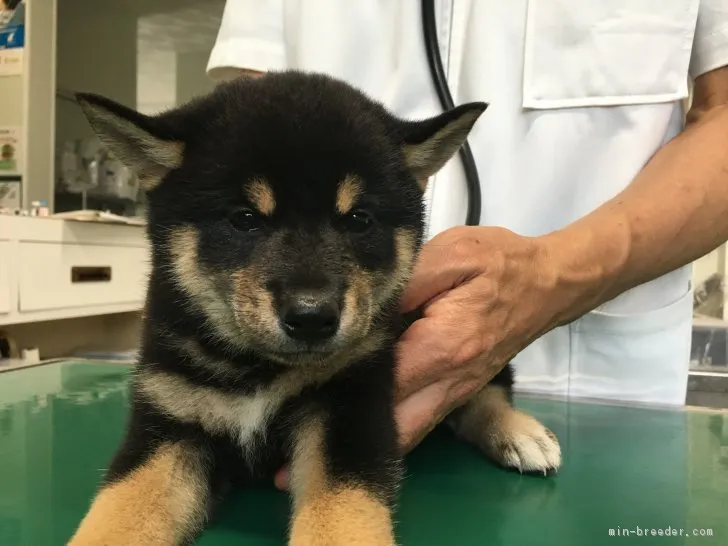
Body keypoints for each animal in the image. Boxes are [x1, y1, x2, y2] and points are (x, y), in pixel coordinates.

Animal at [68, 70, 560, 540]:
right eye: (244, 219)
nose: (311, 317)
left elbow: (341, 519)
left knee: (487, 390)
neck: (258, 371)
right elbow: (118, 516)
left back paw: (520, 433)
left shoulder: (350, 408)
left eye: (358, 220)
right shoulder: (169, 419)